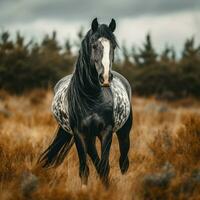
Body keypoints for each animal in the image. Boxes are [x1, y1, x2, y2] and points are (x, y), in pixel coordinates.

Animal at [38, 18, 133, 188]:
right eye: (94, 45)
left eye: (113, 46)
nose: (106, 78)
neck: (91, 97)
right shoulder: (79, 133)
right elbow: (85, 168)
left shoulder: (106, 131)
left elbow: (105, 166)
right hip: (90, 138)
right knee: (95, 160)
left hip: (123, 132)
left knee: (123, 162)